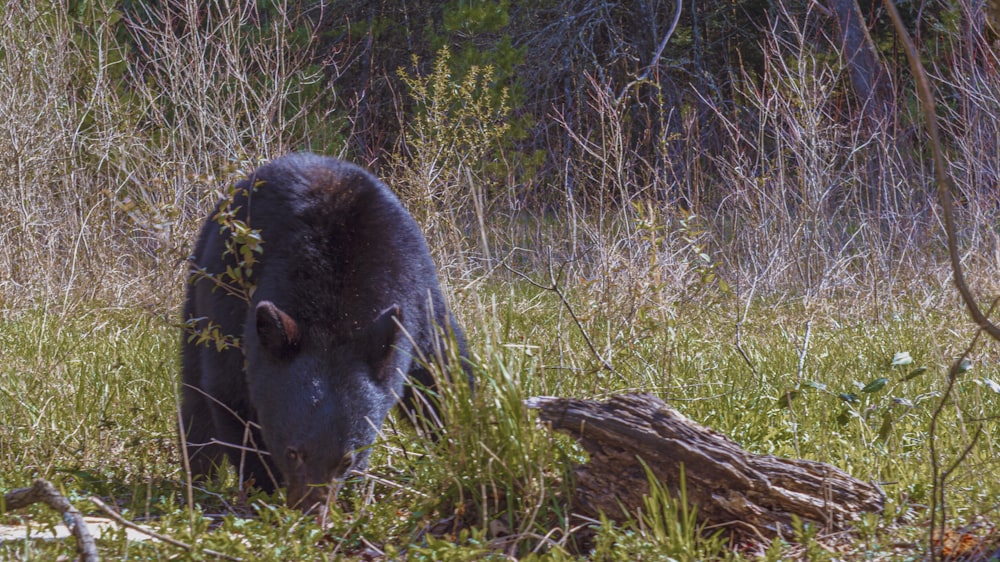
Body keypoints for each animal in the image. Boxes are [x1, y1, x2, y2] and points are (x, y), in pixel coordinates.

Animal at [181, 152, 468, 512]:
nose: (311, 512)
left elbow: (443, 376)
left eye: (346, 459)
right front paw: (265, 486)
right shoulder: (233, 312)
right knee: (194, 392)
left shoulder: (418, 303)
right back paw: (199, 478)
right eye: (292, 452)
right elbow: (230, 395)